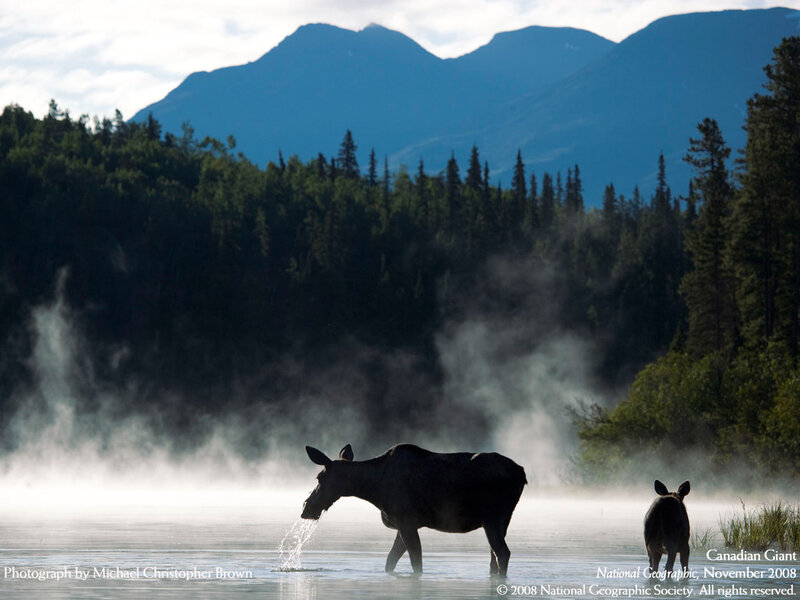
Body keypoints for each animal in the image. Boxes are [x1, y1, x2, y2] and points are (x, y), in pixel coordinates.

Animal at [301, 443, 527, 577]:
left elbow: (416, 562)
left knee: (502, 553)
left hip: (493, 517)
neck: (373, 489)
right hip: (503, 519)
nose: (306, 507)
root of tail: (522, 474)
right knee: (494, 558)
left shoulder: (406, 521)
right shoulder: (402, 525)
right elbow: (390, 562)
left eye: (319, 477)